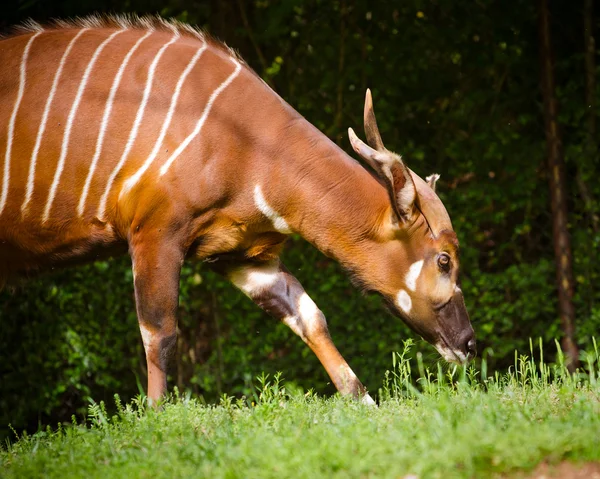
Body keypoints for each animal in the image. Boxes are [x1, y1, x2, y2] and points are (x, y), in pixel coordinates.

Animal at [1, 15, 478, 404]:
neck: (244, 142)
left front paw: (364, 403)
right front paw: (157, 419)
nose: (470, 344)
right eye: (444, 260)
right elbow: (160, 333)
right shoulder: (154, 233)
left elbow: (311, 317)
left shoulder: (240, 255)